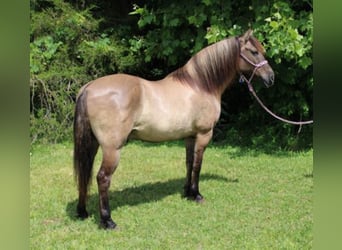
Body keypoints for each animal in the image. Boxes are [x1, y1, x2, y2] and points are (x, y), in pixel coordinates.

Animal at [73, 29, 274, 229]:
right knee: (103, 178)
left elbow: (189, 163)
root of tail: (89, 88)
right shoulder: (204, 134)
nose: (271, 77)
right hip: (112, 149)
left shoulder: (190, 136)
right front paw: (197, 195)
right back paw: (107, 221)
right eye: (254, 52)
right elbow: (198, 165)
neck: (201, 85)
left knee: (85, 172)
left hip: (92, 144)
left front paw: (187, 193)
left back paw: (82, 212)